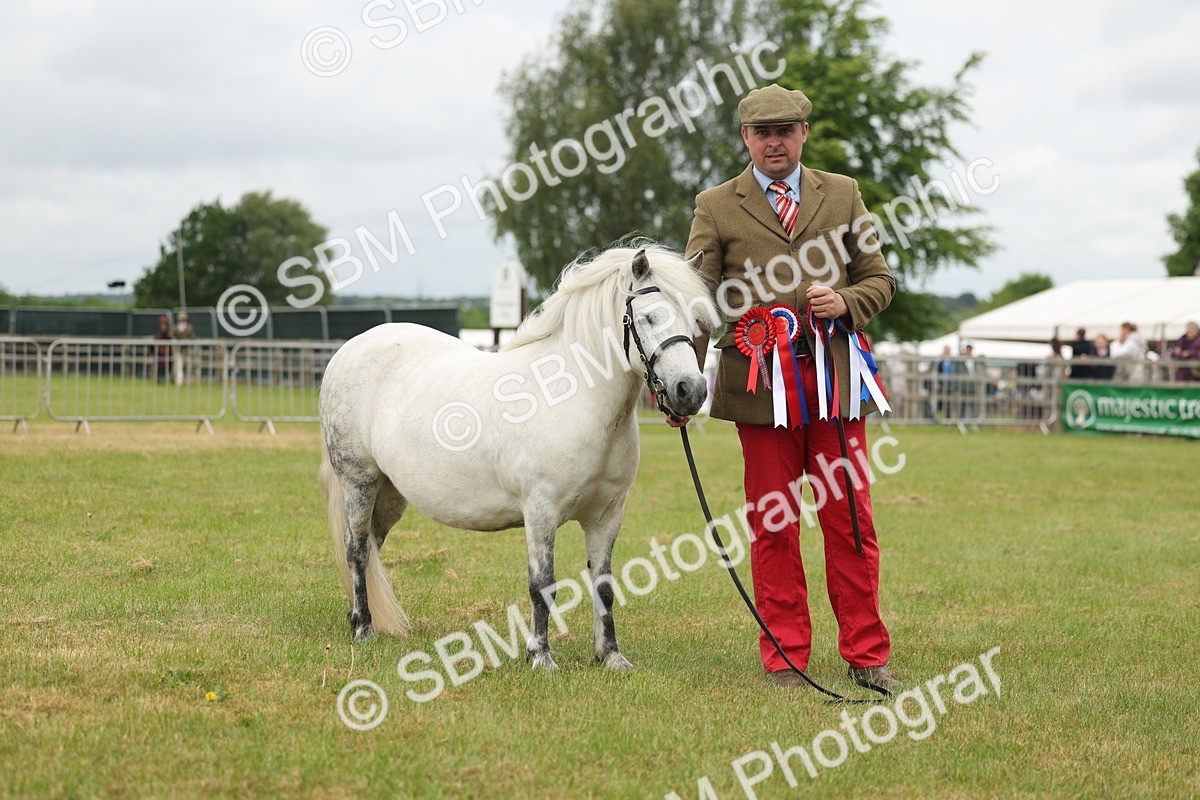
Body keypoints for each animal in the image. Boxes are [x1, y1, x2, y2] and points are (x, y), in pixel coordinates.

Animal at [318, 244, 720, 670]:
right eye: (648, 317)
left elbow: (604, 586)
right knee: (356, 549)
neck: (574, 398)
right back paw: (363, 629)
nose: (690, 392)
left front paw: (610, 655)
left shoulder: (607, 515)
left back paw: (360, 617)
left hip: (391, 492)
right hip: (359, 481)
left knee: (371, 545)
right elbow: (542, 585)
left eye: (695, 320)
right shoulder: (540, 510)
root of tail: (349, 349)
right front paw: (540, 656)